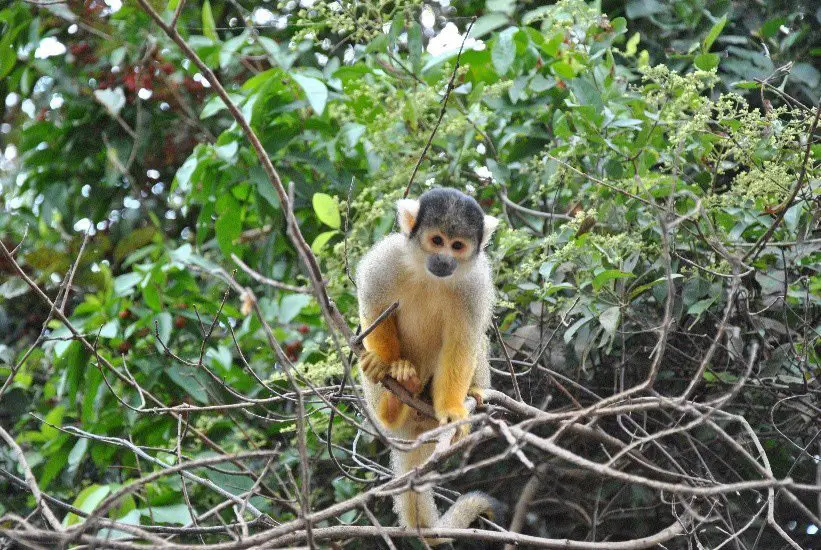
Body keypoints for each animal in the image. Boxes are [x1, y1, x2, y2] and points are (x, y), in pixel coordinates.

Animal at [354, 188, 496, 540]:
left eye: (457, 246)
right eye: (437, 240)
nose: (444, 260)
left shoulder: (475, 282)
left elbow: (464, 337)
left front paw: (452, 410)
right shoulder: (386, 259)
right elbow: (373, 308)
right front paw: (387, 365)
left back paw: (471, 393)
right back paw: (393, 401)